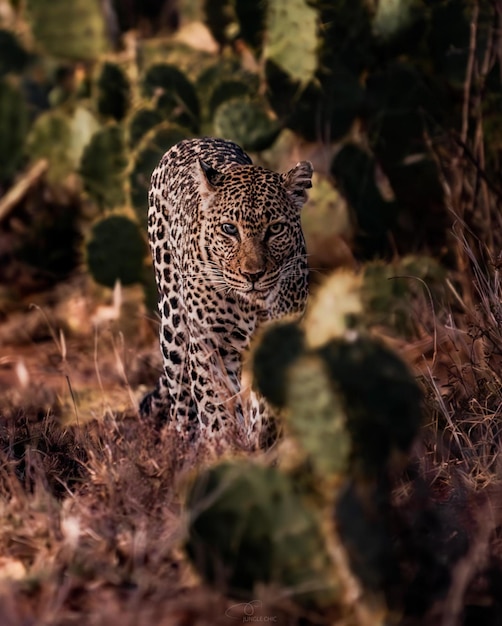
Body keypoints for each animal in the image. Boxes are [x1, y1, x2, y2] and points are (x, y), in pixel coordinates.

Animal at [139, 139, 312, 446]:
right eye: (229, 229)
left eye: (276, 229)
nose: (253, 275)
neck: (251, 306)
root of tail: (193, 140)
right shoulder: (209, 344)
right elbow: (215, 403)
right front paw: (225, 446)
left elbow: (265, 405)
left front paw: (260, 437)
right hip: (173, 325)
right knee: (180, 397)